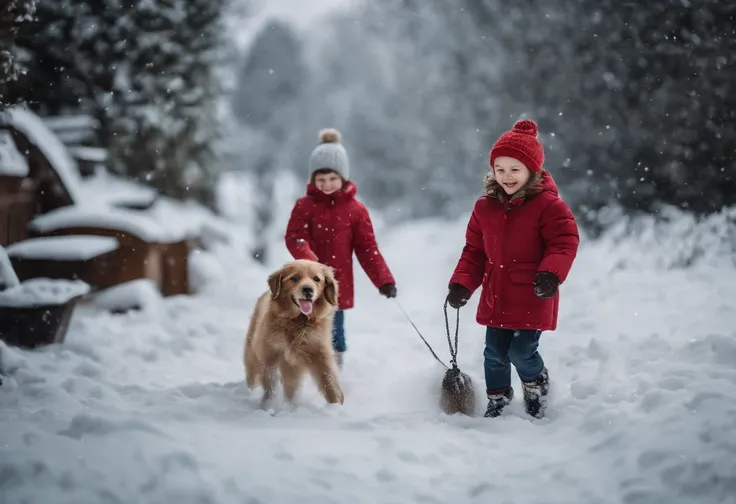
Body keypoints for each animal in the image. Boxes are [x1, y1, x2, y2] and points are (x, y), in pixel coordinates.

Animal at [243, 258, 344, 408]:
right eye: (295, 278)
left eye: (317, 279)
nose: (308, 290)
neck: (298, 322)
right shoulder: (271, 354)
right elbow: (271, 384)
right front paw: (269, 405)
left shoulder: (319, 353)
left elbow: (328, 380)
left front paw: (336, 405)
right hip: (253, 354)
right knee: (252, 376)